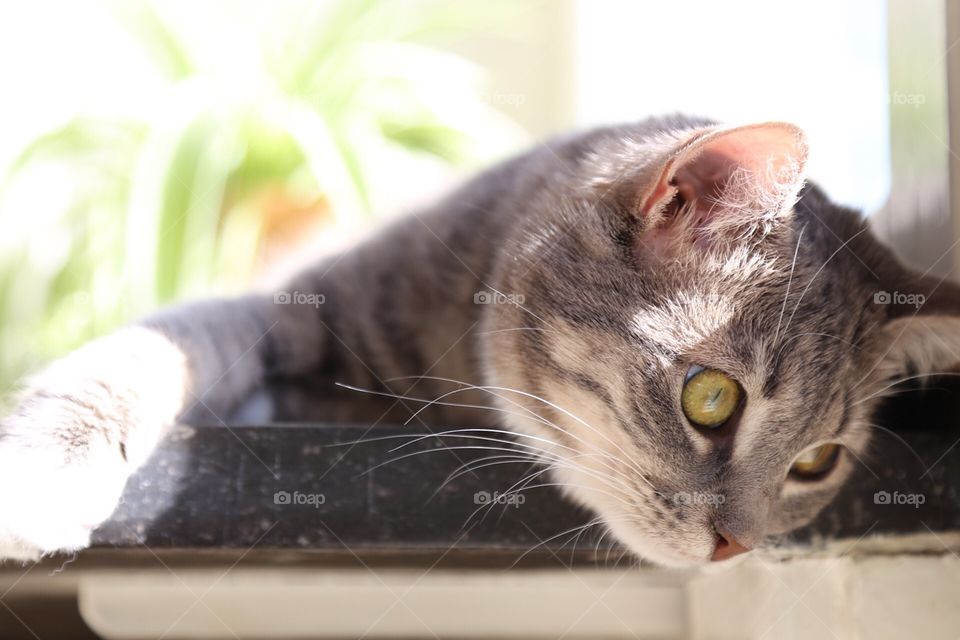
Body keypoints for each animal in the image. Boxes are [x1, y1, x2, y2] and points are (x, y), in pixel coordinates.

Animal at [1, 114, 960, 564]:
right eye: (711, 398)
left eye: (816, 462)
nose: (739, 546)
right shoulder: (291, 301)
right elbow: (155, 347)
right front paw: (49, 463)